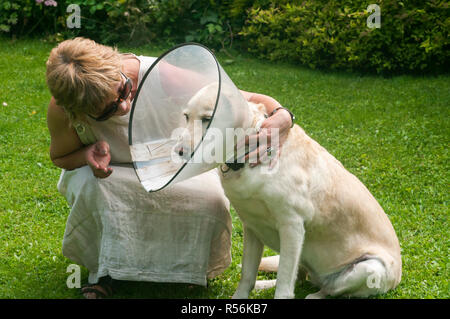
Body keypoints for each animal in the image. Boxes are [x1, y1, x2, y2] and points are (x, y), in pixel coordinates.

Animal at [175, 83, 400, 300]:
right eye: (186, 116)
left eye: (207, 119)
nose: (179, 152)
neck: (246, 156)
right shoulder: (252, 226)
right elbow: (247, 274)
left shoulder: (292, 226)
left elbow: (283, 285)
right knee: (299, 279)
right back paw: (264, 285)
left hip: (369, 267)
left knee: (328, 289)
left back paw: (315, 296)